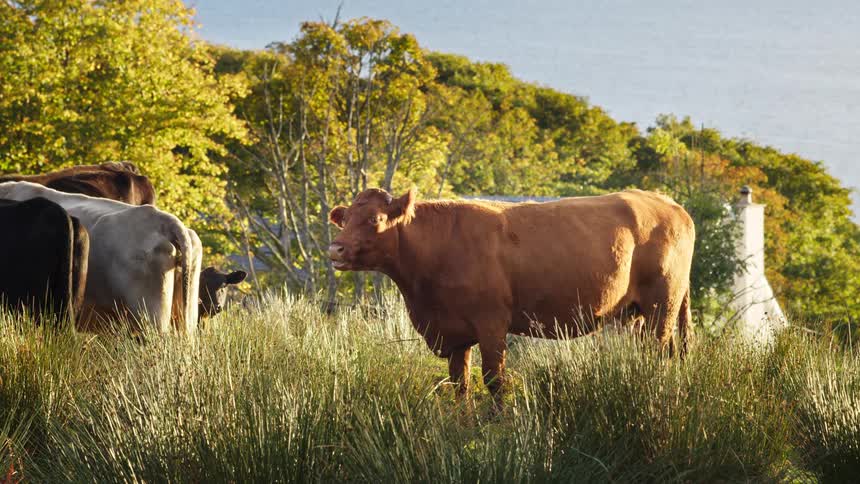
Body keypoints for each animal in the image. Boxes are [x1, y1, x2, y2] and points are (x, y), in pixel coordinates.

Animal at [327, 188, 695, 399]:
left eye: (373, 219)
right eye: (344, 219)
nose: (335, 249)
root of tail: (668, 203)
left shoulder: (491, 323)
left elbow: (494, 379)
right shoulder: (455, 333)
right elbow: (460, 383)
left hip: (662, 306)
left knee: (658, 355)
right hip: (637, 313)